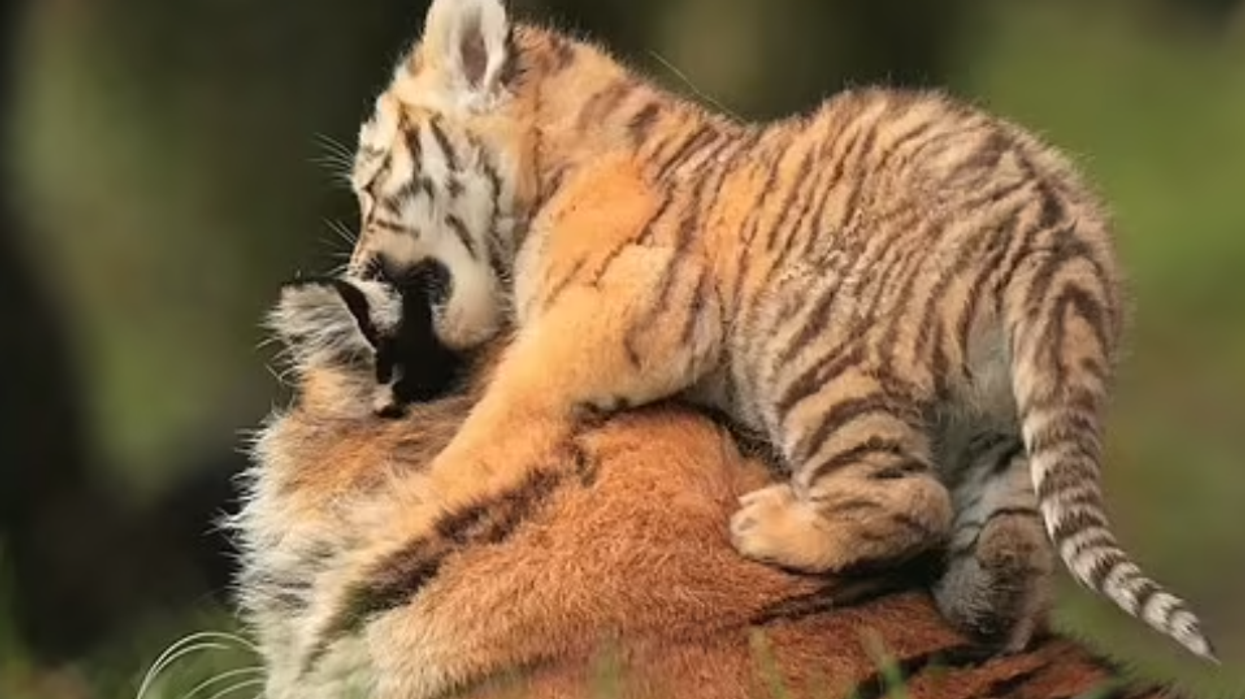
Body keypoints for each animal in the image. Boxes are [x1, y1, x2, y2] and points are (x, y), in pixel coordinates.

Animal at [336, 0, 1217, 663]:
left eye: (369, 185)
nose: (353, 275)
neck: (550, 166)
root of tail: (1059, 247)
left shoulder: (638, 305)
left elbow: (514, 393)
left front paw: (420, 491)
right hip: (1003, 428)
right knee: (1008, 546)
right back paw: (977, 610)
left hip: (802, 344)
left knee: (908, 495)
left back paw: (771, 524)